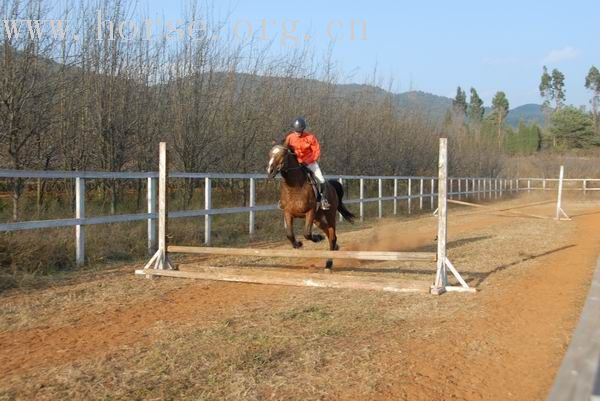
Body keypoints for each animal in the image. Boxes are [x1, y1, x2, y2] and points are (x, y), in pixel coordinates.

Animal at [268, 142, 356, 270]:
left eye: (283, 154)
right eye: (270, 154)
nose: (270, 170)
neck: (294, 186)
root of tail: (332, 186)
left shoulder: (310, 212)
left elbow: (307, 234)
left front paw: (316, 238)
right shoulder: (288, 213)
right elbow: (290, 234)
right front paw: (298, 244)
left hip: (329, 214)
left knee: (332, 236)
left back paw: (329, 263)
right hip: (318, 219)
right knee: (329, 233)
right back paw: (334, 246)